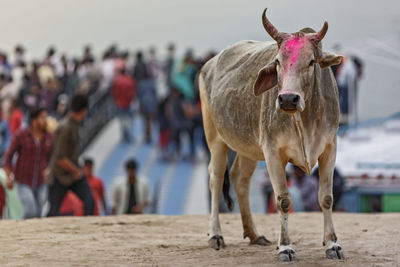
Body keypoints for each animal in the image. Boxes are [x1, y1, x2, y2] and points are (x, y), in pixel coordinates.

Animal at [198, 7, 346, 262]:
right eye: (277, 61)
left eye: (311, 62)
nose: (287, 99)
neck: (305, 120)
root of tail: (210, 63)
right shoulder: (272, 152)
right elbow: (283, 200)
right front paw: (285, 247)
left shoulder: (330, 148)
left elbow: (326, 198)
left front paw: (332, 244)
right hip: (215, 136)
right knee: (216, 178)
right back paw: (215, 235)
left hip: (248, 147)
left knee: (240, 177)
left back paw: (254, 234)